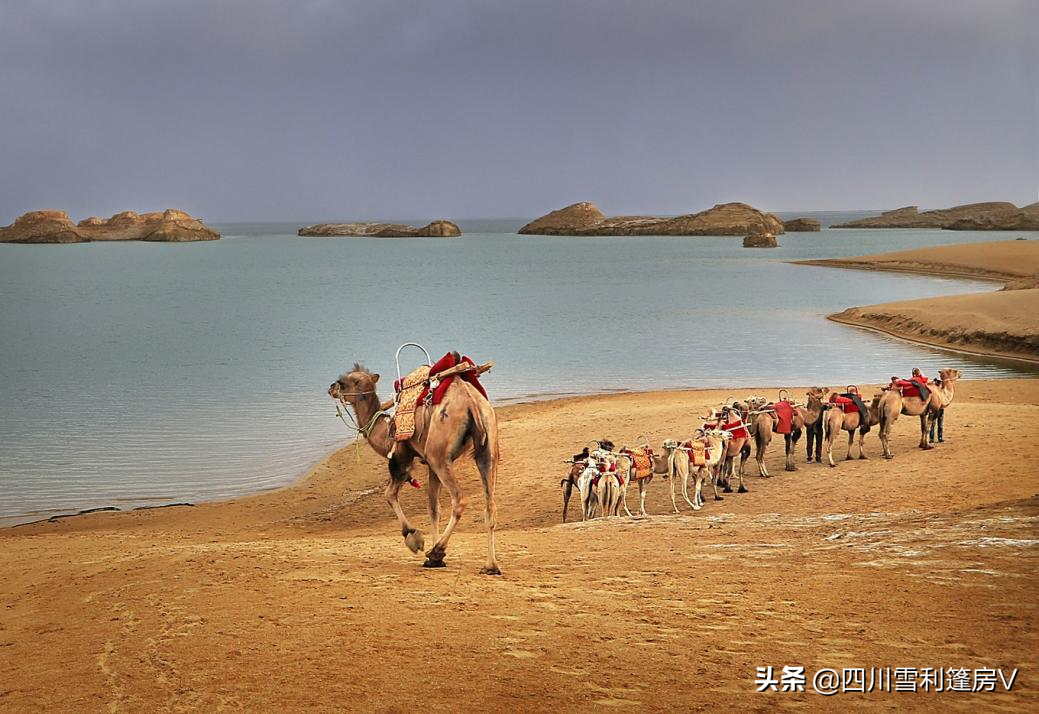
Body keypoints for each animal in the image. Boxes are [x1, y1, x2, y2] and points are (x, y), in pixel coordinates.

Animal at [326, 363, 500, 573]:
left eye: (345, 382)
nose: (331, 388)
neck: (385, 430)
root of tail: (471, 402)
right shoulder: (429, 465)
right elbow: (433, 507)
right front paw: (435, 560)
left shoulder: (401, 457)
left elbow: (389, 494)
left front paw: (414, 538)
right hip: (487, 446)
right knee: (490, 505)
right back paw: (490, 566)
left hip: (438, 454)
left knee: (460, 499)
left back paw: (437, 550)